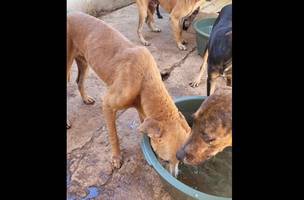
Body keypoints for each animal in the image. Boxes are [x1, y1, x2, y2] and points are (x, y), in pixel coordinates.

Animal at [67, 11, 190, 176]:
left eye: (180, 162)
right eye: (165, 160)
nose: (175, 177)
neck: (144, 79)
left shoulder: (143, 111)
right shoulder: (107, 104)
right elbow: (114, 136)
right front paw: (116, 158)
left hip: (84, 61)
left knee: (79, 81)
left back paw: (86, 98)